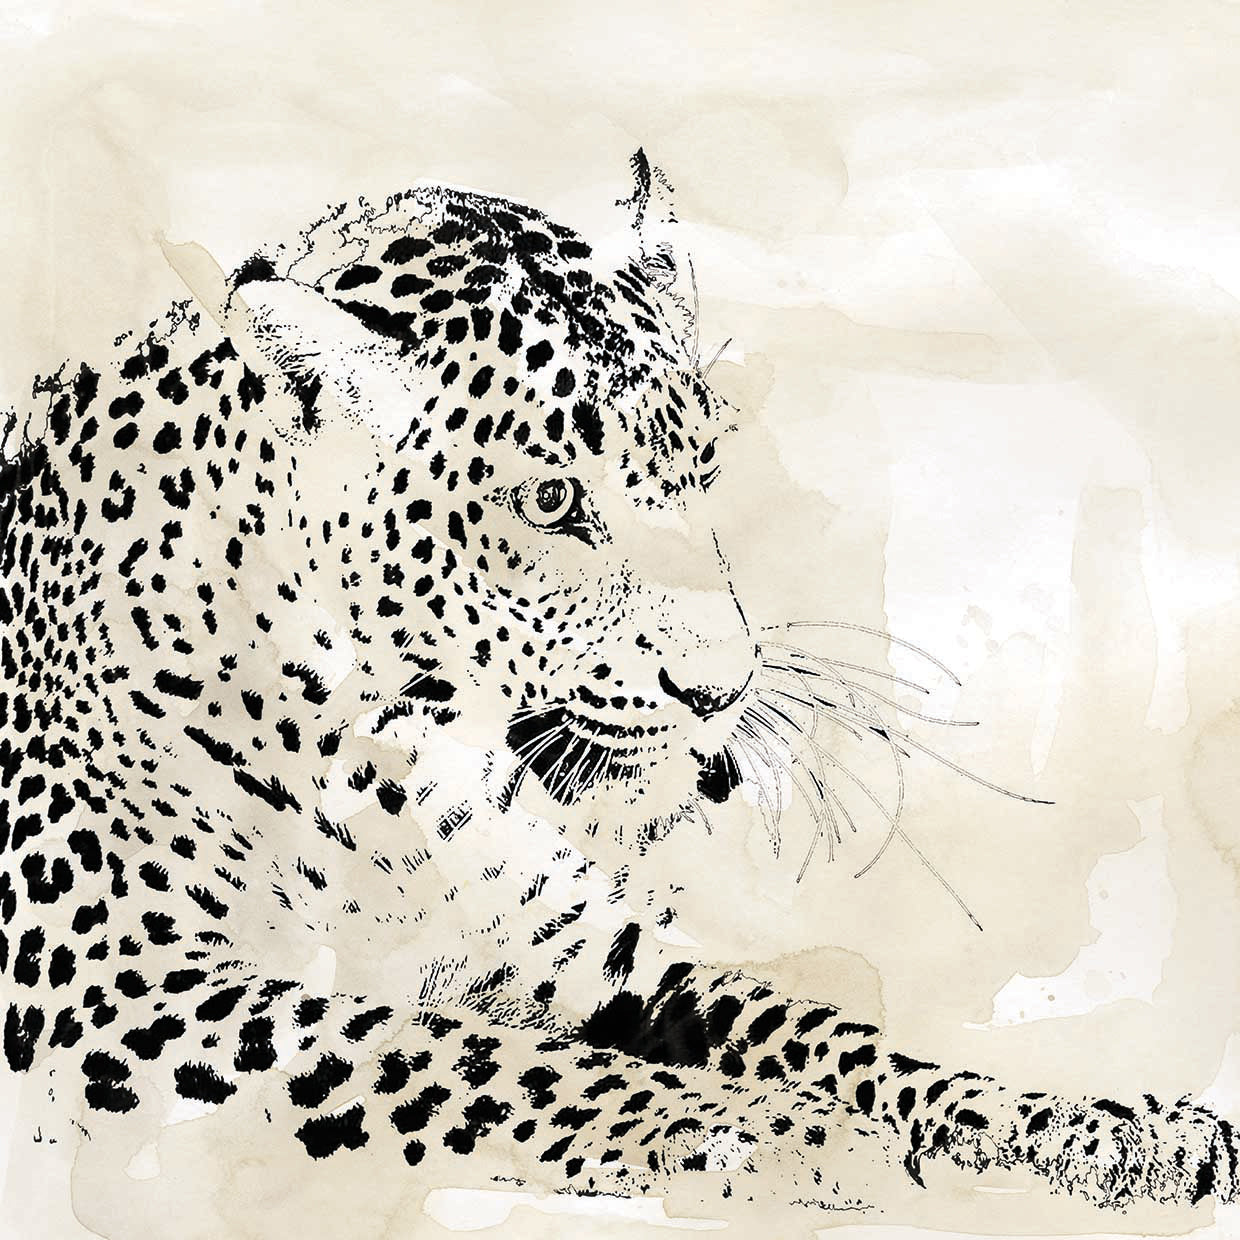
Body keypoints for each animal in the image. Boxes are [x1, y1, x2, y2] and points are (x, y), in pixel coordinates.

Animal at [0, 149, 1235, 1233]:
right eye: (549, 499)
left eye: (700, 467)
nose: (720, 690)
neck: (400, 773)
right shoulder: (117, 992)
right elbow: (485, 1056)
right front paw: (795, 1136)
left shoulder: (588, 958)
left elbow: (824, 1031)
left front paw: (1102, 1128)